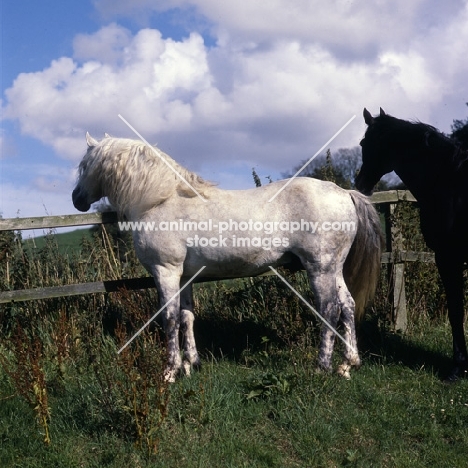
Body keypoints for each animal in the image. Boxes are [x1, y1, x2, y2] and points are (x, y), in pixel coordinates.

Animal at [354, 106, 468, 380]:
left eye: (364, 143)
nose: (361, 185)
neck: (447, 182)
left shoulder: (448, 256)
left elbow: (456, 310)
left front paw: (457, 367)